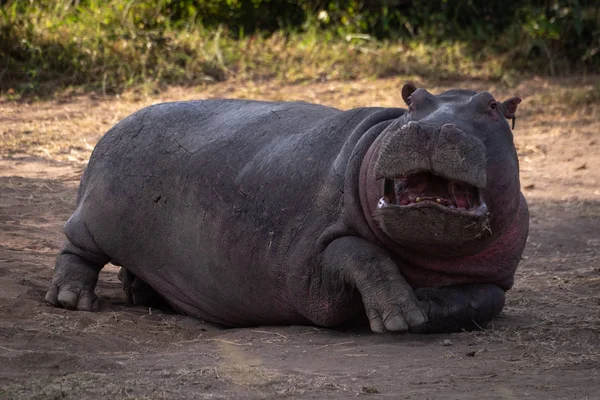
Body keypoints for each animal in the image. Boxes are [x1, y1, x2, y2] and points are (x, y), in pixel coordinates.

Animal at [44, 84, 528, 334]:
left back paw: (140, 292)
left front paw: (425, 305)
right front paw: (400, 316)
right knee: (76, 250)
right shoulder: (308, 264)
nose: (430, 129)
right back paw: (73, 300)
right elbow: (360, 253)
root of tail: (115, 124)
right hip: (94, 219)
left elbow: (485, 301)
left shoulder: (495, 277)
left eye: (493, 106)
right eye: (413, 100)